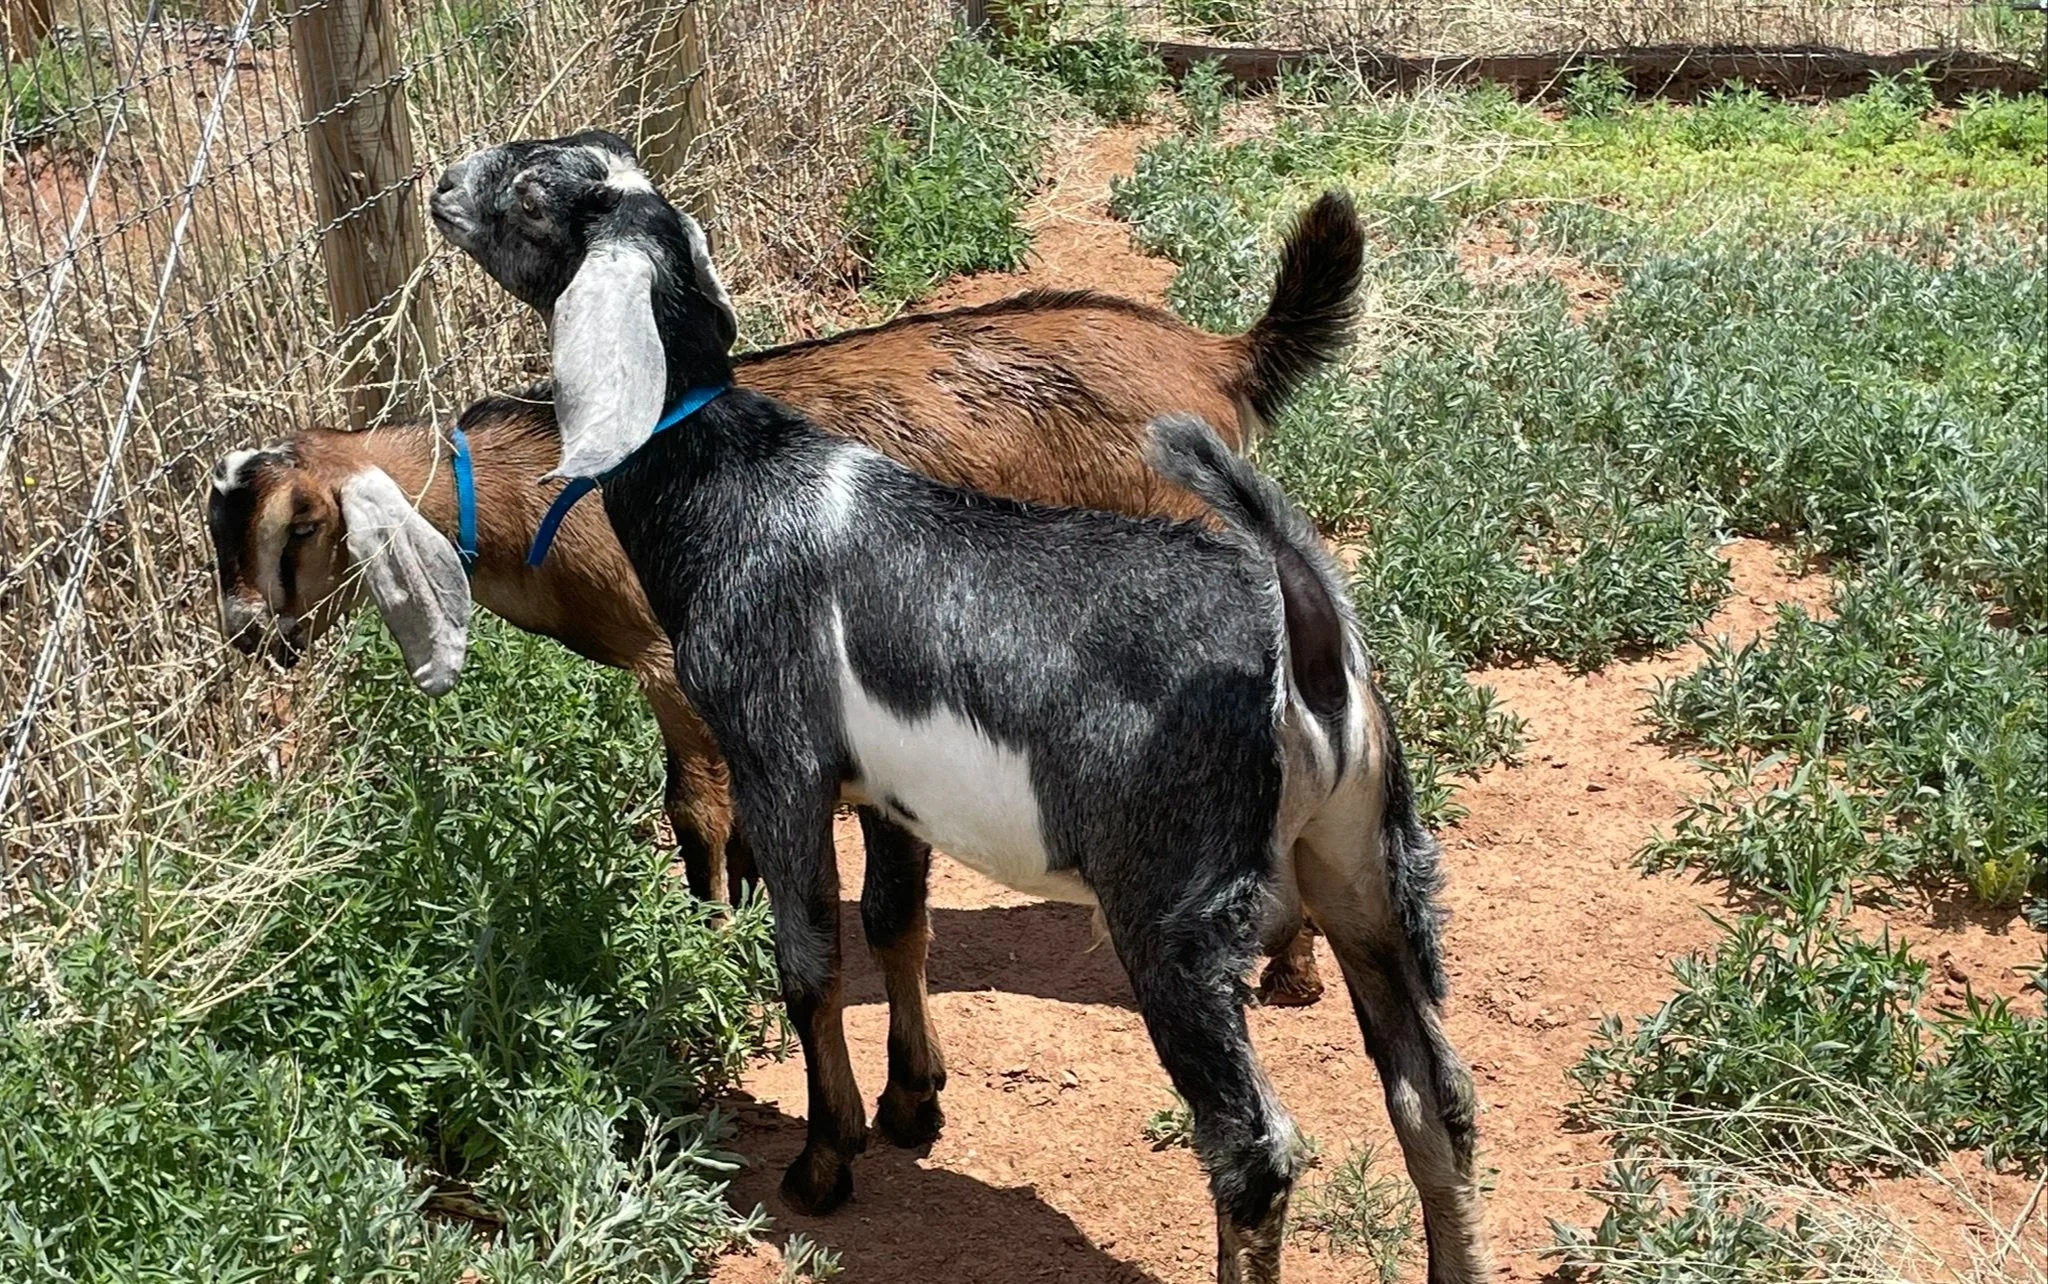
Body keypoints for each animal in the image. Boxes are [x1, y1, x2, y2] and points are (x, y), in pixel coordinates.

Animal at [209, 152, 1363, 1005]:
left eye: (294, 528)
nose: (248, 636)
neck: (534, 480)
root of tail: (1214, 360)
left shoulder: (671, 662)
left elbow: (695, 808)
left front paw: (706, 944)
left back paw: (1293, 967)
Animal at [435, 131, 1489, 1284]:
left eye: (536, 196)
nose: (442, 187)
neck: (735, 487)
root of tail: (1306, 644)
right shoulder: (888, 792)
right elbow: (897, 922)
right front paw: (911, 1102)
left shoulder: (776, 758)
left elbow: (809, 961)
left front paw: (826, 1159)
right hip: (1364, 868)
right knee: (1435, 1100)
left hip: (1173, 905)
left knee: (1253, 1150)